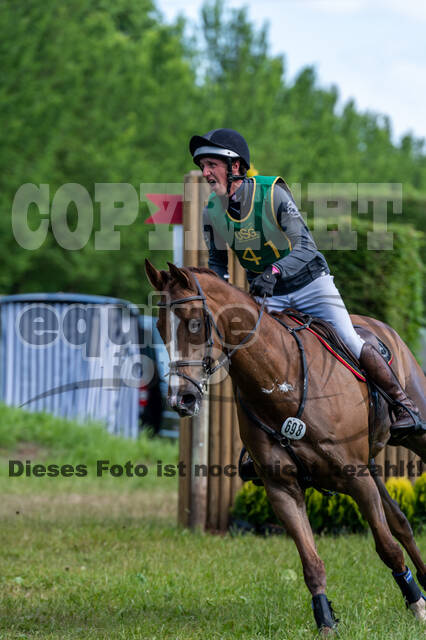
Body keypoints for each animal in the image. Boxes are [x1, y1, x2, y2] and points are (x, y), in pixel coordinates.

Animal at [145, 259, 426, 634]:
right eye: (160, 327)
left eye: (193, 322)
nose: (182, 399)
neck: (280, 381)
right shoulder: (283, 489)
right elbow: (312, 562)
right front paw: (326, 622)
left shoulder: (356, 478)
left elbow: (386, 546)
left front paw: (417, 604)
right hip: (369, 466)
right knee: (401, 521)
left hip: (412, 438)